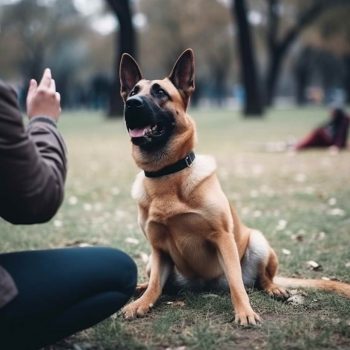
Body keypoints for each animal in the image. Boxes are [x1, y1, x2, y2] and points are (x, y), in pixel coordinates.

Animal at [119, 47, 350, 324]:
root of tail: (203, 286)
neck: (168, 175)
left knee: (260, 279)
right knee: (162, 284)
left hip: (258, 243)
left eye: (160, 92)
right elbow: (155, 285)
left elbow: (236, 283)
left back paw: (274, 288)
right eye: (133, 91)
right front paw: (142, 303)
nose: (132, 103)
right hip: (154, 263)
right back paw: (138, 289)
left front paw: (245, 312)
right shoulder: (158, 250)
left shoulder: (222, 237)